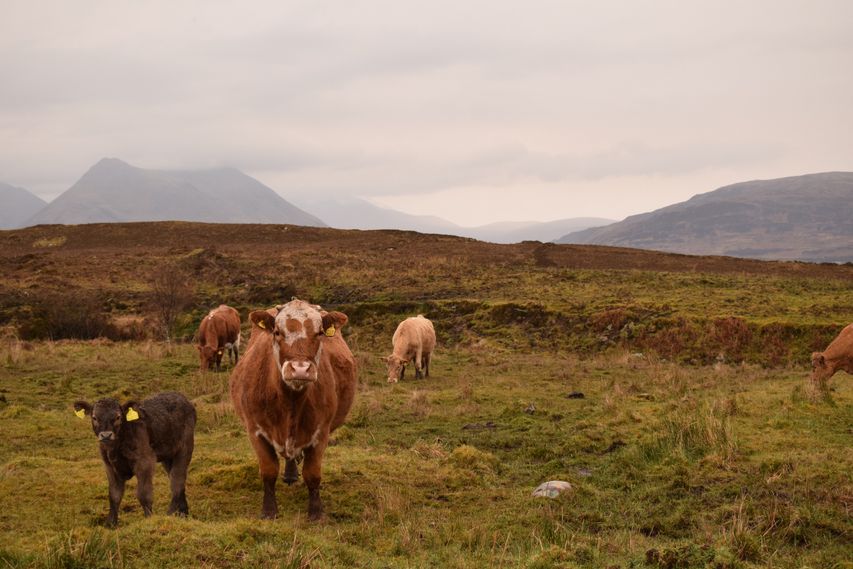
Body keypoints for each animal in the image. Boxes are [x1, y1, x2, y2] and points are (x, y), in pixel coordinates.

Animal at [228, 298, 354, 520]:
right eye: (277, 332)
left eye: (319, 332)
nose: (300, 369)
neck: (290, 405)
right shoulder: (255, 431)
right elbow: (268, 471)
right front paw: (269, 511)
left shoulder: (321, 432)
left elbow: (313, 474)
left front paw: (316, 512)